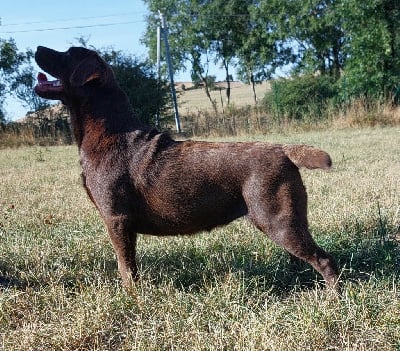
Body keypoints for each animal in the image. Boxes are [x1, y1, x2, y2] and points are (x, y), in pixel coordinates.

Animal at [34, 46, 340, 288]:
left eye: (67, 54)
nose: (37, 48)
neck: (108, 133)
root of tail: (283, 150)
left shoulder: (117, 219)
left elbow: (126, 268)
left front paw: (132, 298)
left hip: (277, 218)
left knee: (324, 260)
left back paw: (332, 299)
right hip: (280, 219)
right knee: (298, 258)